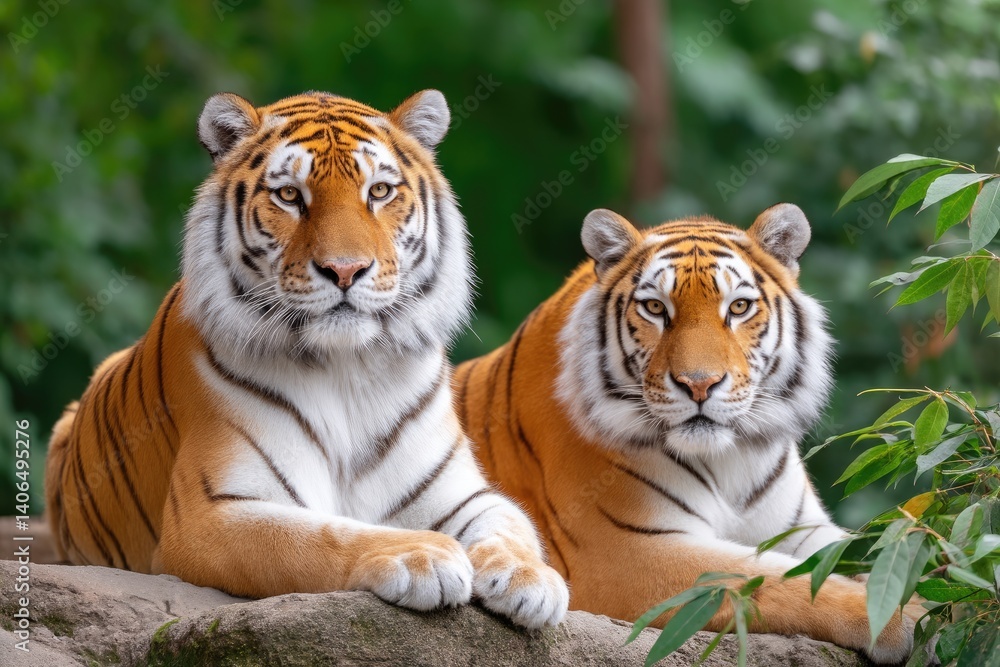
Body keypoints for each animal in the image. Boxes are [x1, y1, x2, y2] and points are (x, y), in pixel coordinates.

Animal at [44, 89, 568, 629]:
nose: (345, 270)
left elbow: (511, 524)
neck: (347, 368)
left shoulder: (461, 495)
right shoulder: (210, 513)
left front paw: (530, 580)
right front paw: (421, 555)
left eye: (379, 191)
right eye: (290, 196)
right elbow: (322, 534)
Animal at [454, 204, 919, 661]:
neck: (732, 459)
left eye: (739, 307)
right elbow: (774, 578)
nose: (699, 384)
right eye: (656, 309)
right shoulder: (627, 552)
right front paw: (905, 614)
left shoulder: (806, 530)